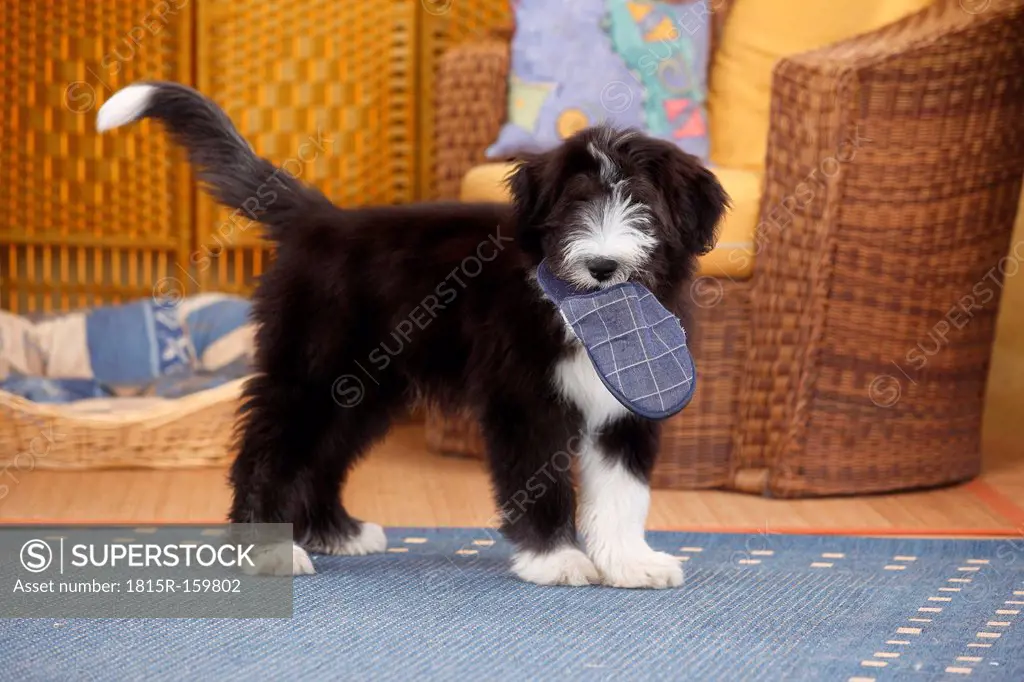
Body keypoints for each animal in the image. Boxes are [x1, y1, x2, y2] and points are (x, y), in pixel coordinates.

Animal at [94, 82, 720, 585]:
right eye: (575, 205)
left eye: (642, 205)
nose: (602, 266)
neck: (584, 317)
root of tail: (323, 220)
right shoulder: (523, 401)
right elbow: (539, 478)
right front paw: (557, 560)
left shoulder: (628, 408)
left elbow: (622, 493)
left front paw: (630, 563)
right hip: (315, 372)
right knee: (269, 450)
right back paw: (270, 550)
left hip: (364, 389)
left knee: (324, 456)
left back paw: (336, 531)